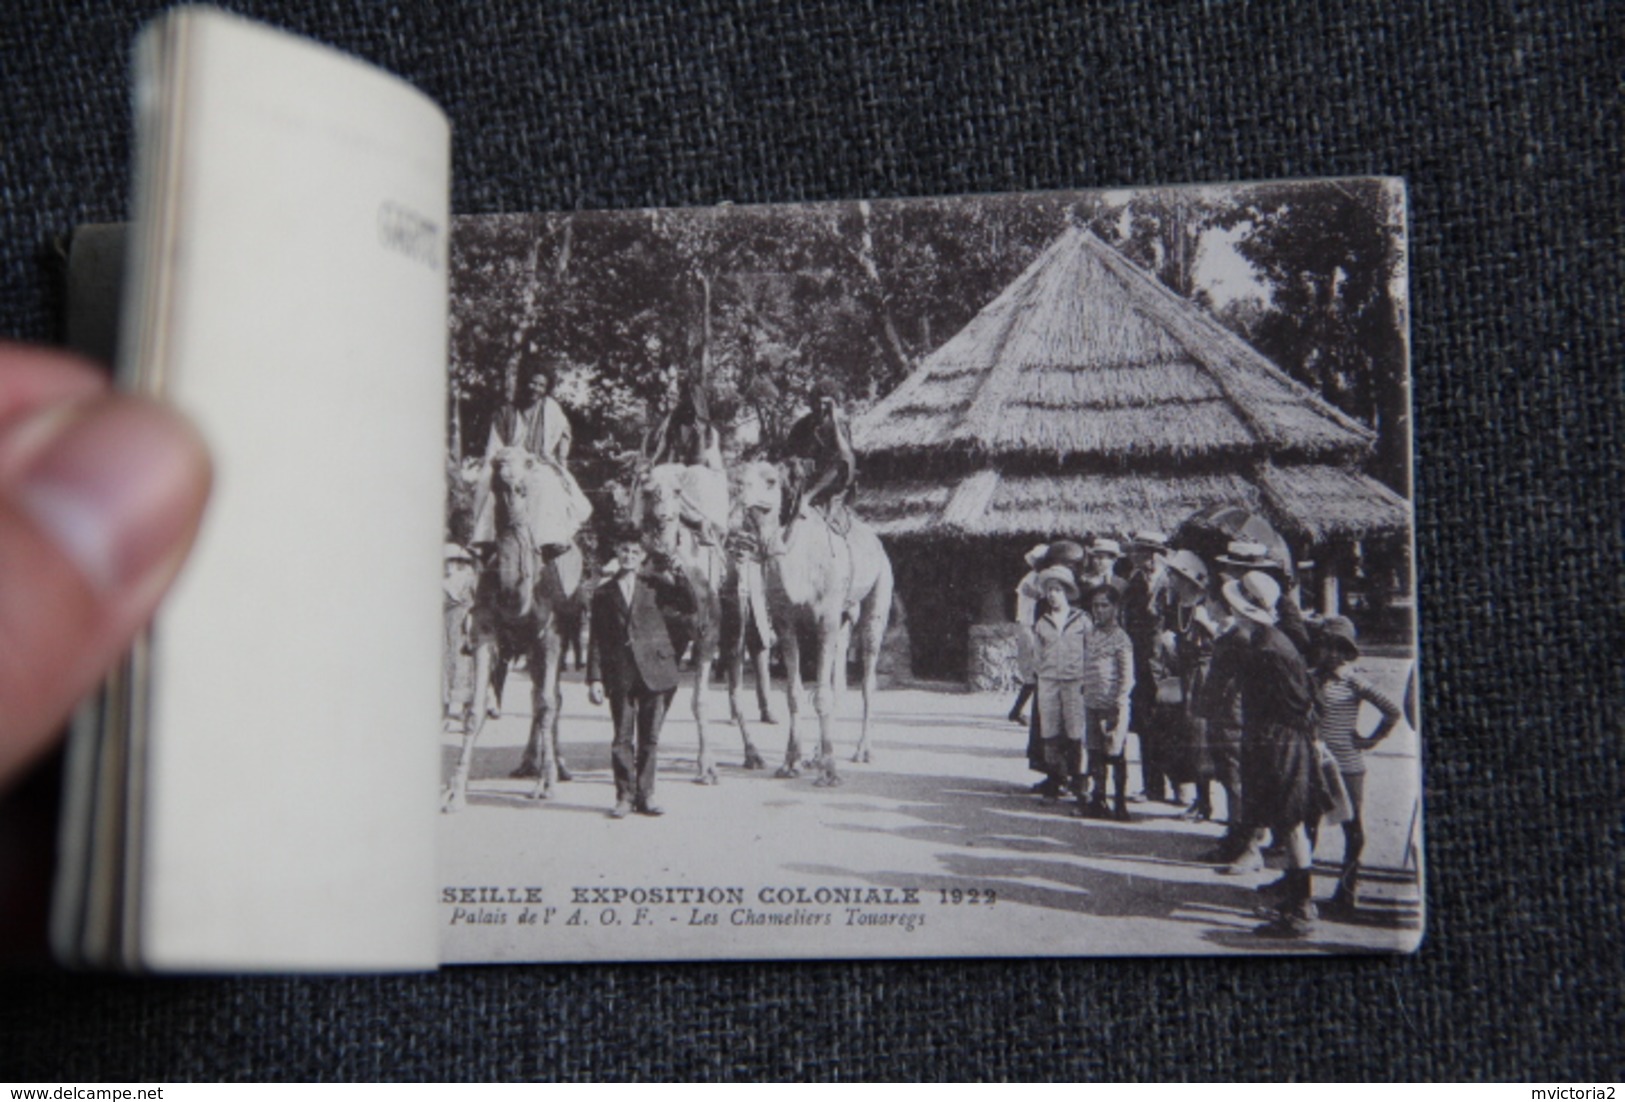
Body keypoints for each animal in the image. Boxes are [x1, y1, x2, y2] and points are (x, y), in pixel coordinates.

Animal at [445, 445, 591, 815]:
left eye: (528, 463)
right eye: (495, 462)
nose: (507, 476)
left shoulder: (551, 633)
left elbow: (548, 703)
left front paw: (546, 786)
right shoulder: (483, 629)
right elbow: (474, 709)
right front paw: (454, 793)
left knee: (551, 697)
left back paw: (558, 767)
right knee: (536, 693)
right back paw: (528, 763)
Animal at [637, 464, 770, 786]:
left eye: (677, 491)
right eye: (646, 491)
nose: (662, 518)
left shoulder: (706, 635)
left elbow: (700, 700)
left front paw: (707, 767)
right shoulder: (672, 636)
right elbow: (663, 695)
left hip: (735, 630)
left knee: (735, 688)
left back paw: (753, 754)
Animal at [734, 464, 890, 786]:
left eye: (770, 480)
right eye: (740, 474)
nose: (739, 487)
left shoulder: (826, 620)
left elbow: (821, 694)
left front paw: (829, 772)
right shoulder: (786, 624)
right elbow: (795, 693)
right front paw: (790, 763)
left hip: (879, 591)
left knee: (867, 678)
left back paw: (862, 751)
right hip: (844, 619)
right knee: (839, 680)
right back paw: (815, 754)